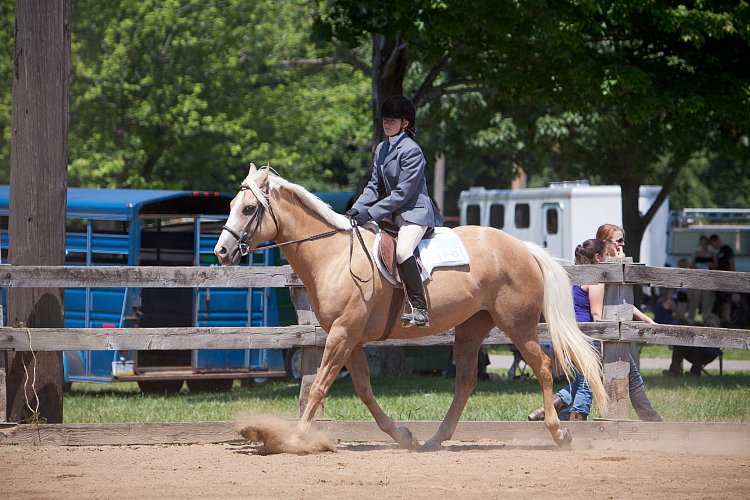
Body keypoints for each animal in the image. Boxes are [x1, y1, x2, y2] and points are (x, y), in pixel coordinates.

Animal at [213, 165, 612, 450]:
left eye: (248, 208)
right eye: (230, 206)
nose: (221, 252)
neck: (334, 256)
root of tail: (521, 247)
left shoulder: (342, 335)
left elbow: (319, 386)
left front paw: (294, 439)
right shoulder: (349, 338)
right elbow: (363, 389)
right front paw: (402, 436)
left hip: (518, 324)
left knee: (542, 366)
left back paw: (559, 434)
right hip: (472, 327)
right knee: (466, 380)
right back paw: (435, 440)